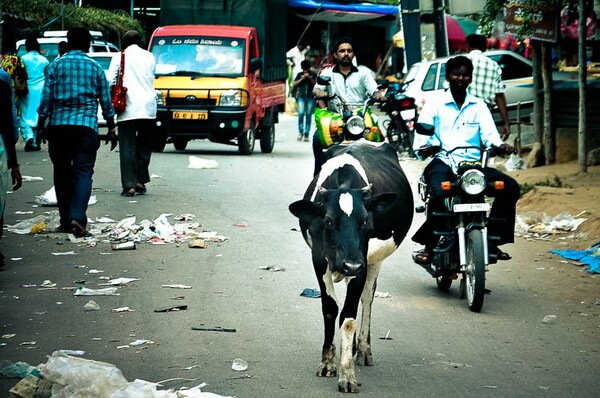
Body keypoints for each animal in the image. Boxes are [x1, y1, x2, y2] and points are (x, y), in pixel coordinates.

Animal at [290, 139, 412, 392]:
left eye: (365, 220)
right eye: (328, 220)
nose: (351, 265)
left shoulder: (362, 261)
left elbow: (348, 318)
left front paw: (347, 374)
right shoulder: (319, 259)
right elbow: (330, 309)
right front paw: (328, 362)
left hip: (374, 261)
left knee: (367, 299)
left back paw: (363, 349)